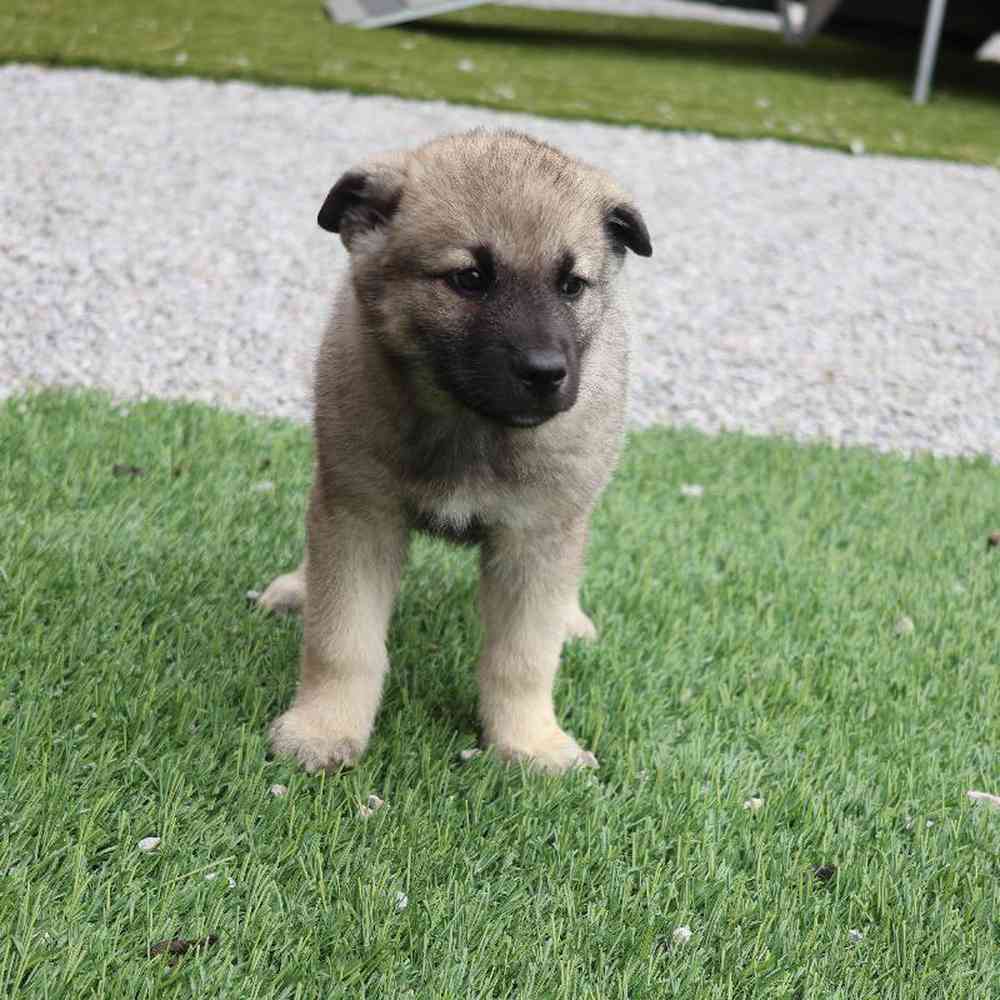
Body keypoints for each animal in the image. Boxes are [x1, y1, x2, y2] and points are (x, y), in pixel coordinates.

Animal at [258, 131, 652, 772]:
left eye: (571, 285)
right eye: (469, 278)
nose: (546, 373)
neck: (470, 426)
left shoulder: (534, 535)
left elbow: (523, 657)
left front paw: (530, 742)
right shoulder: (360, 515)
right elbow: (342, 639)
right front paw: (324, 727)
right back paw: (299, 585)